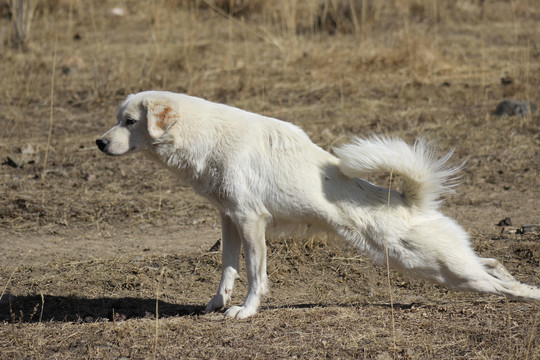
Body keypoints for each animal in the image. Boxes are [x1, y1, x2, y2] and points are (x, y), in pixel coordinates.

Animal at [97, 90, 540, 318]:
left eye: (130, 122)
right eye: (117, 119)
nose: (99, 143)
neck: (204, 135)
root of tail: (411, 200)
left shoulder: (251, 220)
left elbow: (254, 274)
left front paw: (246, 312)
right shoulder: (228, 219)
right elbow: (228, 269)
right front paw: (217, 304)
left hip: (432, 266)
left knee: (502, 286)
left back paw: (530, 295)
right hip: (437, 265)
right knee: (492, 264)